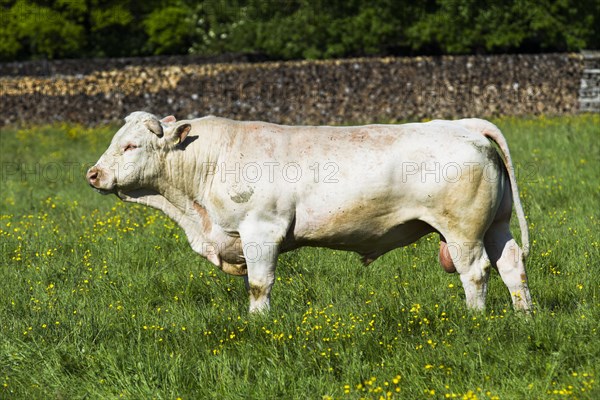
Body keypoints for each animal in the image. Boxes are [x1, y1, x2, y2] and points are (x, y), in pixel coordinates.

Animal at [86, 111, 532, 312]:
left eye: (130, 145)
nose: (93, 173)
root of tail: (463, 124)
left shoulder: (261, 232)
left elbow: (259, 284)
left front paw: (258, 324)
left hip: (463, 231)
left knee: (475, 272)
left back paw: (475, 318)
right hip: (497, 224)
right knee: (512, 267)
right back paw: (523, 317)